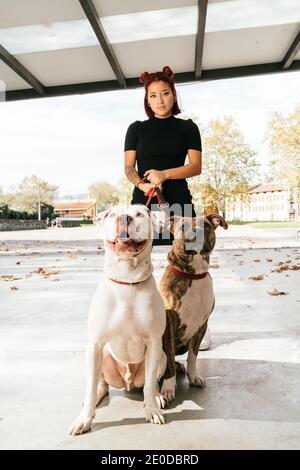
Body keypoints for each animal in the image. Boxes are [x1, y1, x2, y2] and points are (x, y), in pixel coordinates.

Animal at [69, 204, 168, 436]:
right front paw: (84, 418)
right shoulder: (95, 344)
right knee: (100, 385)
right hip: (102, 357)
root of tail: (128, 382)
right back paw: (96, 397)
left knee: (152, 382)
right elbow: (90, 385)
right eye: (112, 214)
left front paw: (151, 409)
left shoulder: (154, 342)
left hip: (162, 356)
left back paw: (157, 396)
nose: (123, 218)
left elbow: (150, 384)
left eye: (139, 213)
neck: (127, 279)